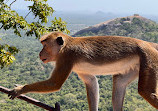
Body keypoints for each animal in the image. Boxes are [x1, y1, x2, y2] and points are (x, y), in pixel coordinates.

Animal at [8, 31, 158, 110]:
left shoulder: (66, 57)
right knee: (119, 81)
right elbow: (91, 82)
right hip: (136, 64)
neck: (65, 45)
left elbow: (54, 84)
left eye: (45, 45)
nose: (40, 53)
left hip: (149, 57)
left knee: (146, 92)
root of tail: (149, 44)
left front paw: (21, 89)